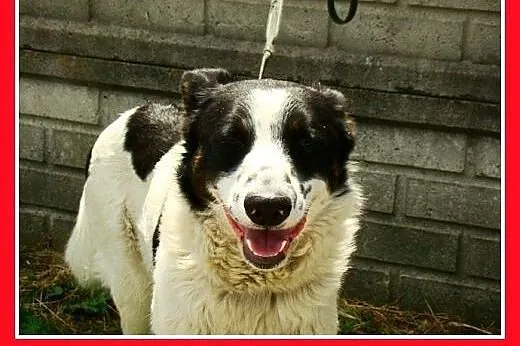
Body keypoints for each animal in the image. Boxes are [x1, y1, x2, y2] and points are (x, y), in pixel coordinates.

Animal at [65, 68, 364, 336]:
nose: (267, 208)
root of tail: (133, 112)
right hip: (131, 286)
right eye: (230, 140)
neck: (254, 287)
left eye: (307, 143)